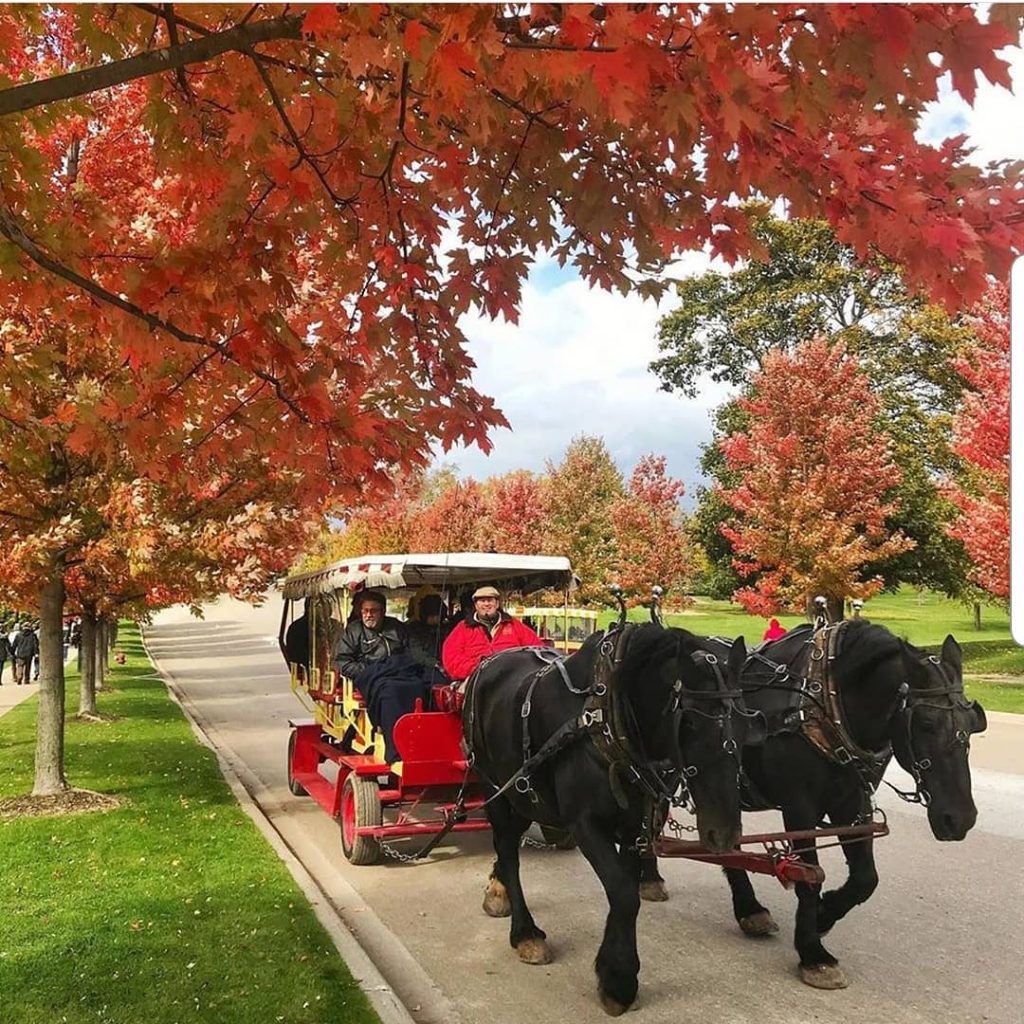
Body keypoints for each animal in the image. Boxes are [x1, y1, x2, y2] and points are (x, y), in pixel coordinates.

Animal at [468, 622, 765, 1015]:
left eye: (747, 726)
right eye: (690, 726)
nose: (725, 834)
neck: (608, 716)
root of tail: (490, 663)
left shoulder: (637, 824)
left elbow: (622, 888)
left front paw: (613, 968)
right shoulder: (585, 825)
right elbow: (624, 893)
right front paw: (620, 979)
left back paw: (499, 890)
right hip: (496, 788)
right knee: (508, 850)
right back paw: (525, 932)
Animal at [638, 614, 983, 991]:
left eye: (972, 725)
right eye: (925, 722)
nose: (960, 818)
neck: (824, 704)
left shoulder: (853, 802)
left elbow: (865, 878)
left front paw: (823, 916)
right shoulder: (798, 807)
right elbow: (809, 876)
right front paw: (813, 953)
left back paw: (748, 908)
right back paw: (651, 876)